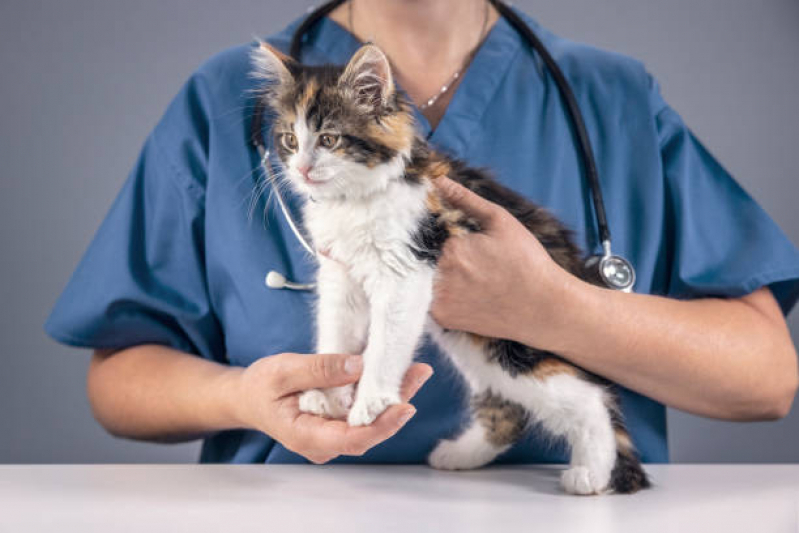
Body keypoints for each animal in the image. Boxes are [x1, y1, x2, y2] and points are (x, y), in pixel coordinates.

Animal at [250, 41, 648, 494]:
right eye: (289, 140)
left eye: (329, 139)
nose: (300, 169)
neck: (356, 200)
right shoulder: (340, 275)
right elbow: (334, 333)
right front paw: (327, 394)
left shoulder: (407, 265)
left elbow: (385, 343)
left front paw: (372, 399)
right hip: (476, 348)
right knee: (509, 408)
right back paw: (461, 455)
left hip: (515, 342)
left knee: (591, 396)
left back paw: (592, 473)